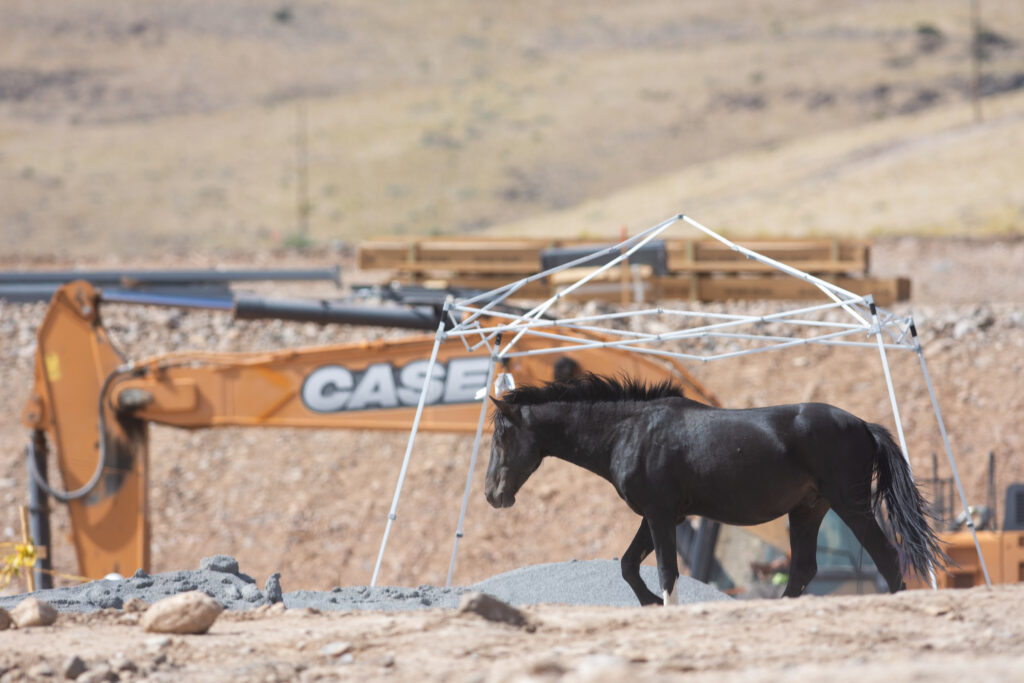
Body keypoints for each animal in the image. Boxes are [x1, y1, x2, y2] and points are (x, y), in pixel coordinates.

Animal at [483, 374, 946, 602]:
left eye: (502, 435)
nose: (492, 494)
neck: (628, 431)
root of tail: (864, 426)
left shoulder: (661, 516)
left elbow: (666, 572)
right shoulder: (661, 517)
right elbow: (629, 566)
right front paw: (649, 603)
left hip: (851, 506)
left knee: (888, 559)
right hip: (808, 511)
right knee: (803, 571)